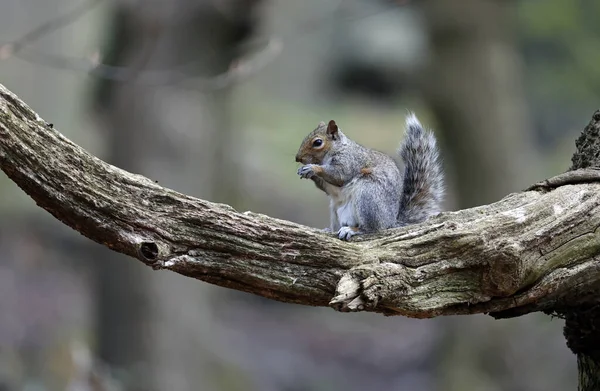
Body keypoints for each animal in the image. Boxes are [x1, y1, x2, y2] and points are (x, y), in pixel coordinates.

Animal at [292, 113, 442, 240]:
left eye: (317, 142)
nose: (298, 158)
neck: (337, 148)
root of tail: (391, 222)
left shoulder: (349, 161)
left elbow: (339, 175)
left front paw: (312, 168)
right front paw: (305, 171)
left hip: (368, 196)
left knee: (372, 229)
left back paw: (352, 230)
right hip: (336, 211)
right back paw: (330, 230)